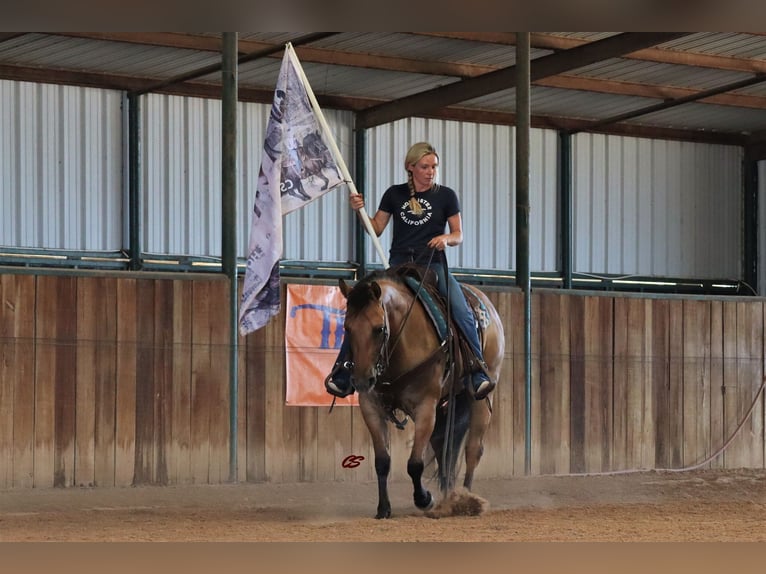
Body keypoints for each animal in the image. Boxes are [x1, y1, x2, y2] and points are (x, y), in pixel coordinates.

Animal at [340, 268, 508, 520]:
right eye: (347, 328)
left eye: (379, 329)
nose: (361, 380)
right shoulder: (370, 406)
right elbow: (382, 461)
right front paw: (383, 508)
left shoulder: (425, 406)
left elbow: (415, 464)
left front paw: (424, 499)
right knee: (444, 449)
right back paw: (450, 498)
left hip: (481, 397)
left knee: (472, 450)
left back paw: (466, 500)